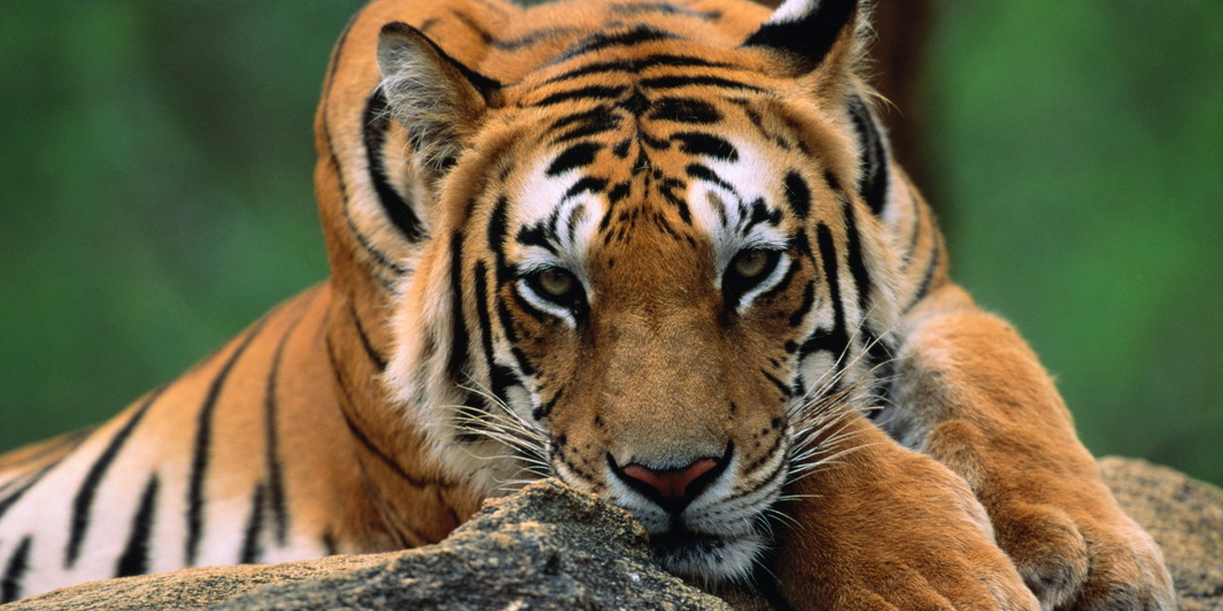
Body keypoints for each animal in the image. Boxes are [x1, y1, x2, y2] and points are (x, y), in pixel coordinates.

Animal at [0, 0, 1176, 608]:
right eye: (555, 287)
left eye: (749, 268)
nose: (669, 482)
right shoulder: (459, 458)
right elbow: (826, 454)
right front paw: (941, 580)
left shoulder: (928, 287)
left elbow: (1003, 378)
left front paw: (1093, 554)